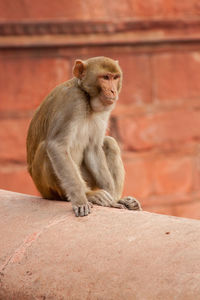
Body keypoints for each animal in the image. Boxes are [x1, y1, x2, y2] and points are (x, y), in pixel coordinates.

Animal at [26, 56, 142, 216]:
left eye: (115, 77)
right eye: (105, 77)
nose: (113, 91)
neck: (86, 97)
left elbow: (93, 148)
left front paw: (113, 201)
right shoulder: (72, 101)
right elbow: (57, 146)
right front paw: (81, 199)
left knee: (109, 143)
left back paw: (121, 199)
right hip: (46, 189)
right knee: (45, 148)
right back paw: (89, 194)